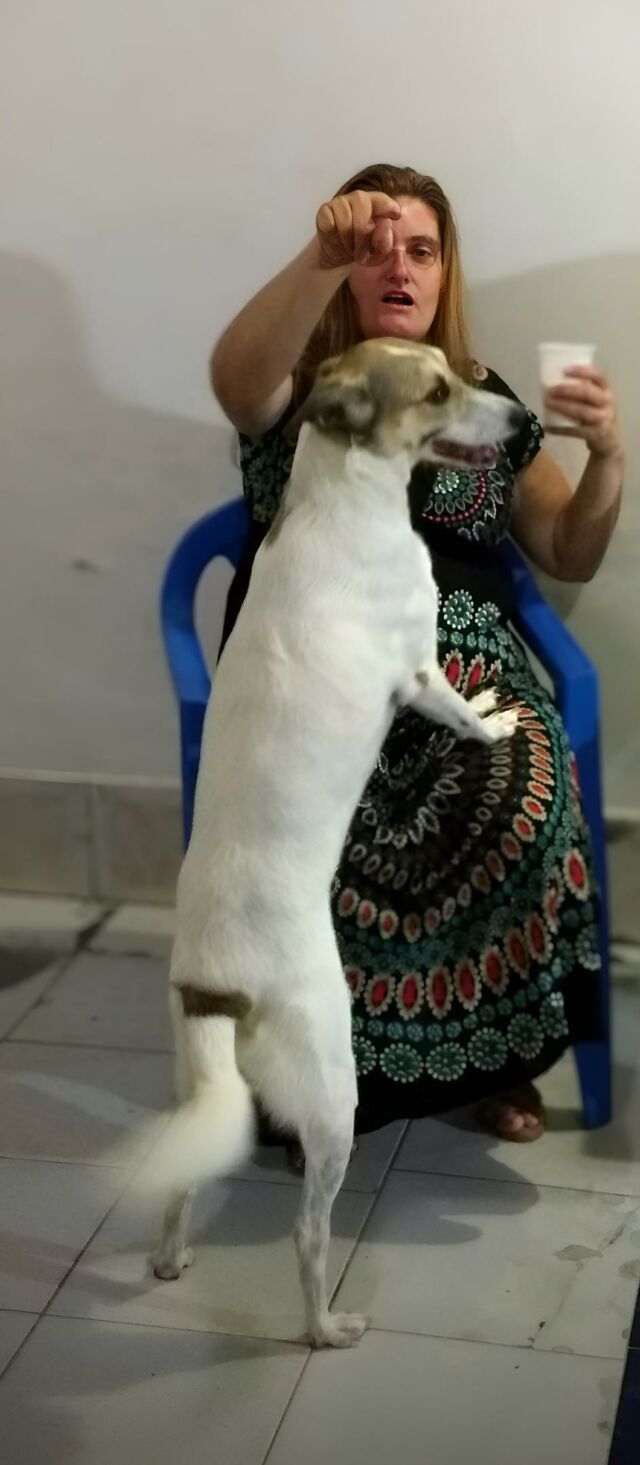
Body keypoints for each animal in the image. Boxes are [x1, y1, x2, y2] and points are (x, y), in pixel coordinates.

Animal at [147, 339, 525, 1348]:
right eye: (437, 391)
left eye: (456, 368)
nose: (525, 420)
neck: (342, 492)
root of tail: (217, 985)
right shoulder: (417, 670)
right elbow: (460, 713)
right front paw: (494, 717)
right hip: (329, 1088)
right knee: (309, 1234)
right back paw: (326, 1326)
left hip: (199, 1081)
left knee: (179, 1184)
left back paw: (170, 1257)